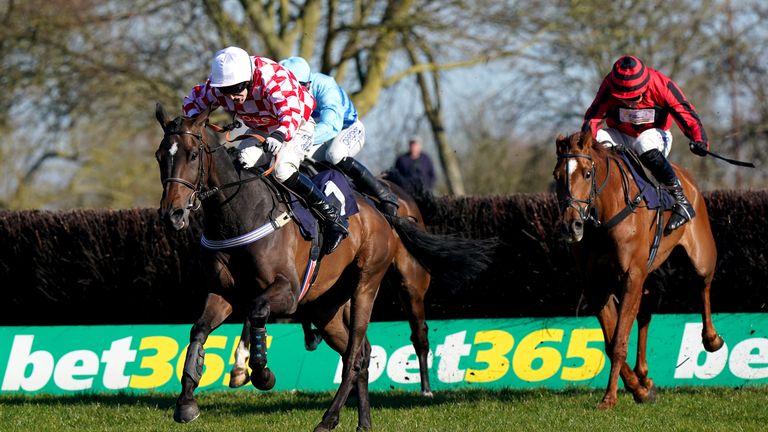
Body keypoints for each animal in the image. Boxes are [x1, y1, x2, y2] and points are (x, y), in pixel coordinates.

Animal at [155, 103, 492, 430]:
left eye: (193, 154)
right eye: (160, 156)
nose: (172, 214)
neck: (240, 214)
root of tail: (381, 211)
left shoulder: (288, 292)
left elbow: (257, 311)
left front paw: (261, 374)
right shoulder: (223, 292)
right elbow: (198, 330)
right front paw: (186, 402)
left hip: (377, 283)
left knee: (365, 352)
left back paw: (336, 417)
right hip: (326, 307)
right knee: (362, 353)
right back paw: (363, 422)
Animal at [552, 131, 728, 408]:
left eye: (587, 173)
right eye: (556, 175)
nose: (572, 226)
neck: (604, 217)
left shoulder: (631, 276)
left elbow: (618, 341)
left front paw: (610, 398)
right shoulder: (596, 285)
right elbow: (611, 340)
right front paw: (639, 389)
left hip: (701, 254)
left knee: (704, 285)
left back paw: (711, 338)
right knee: (645, 312)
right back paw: (644, 376)